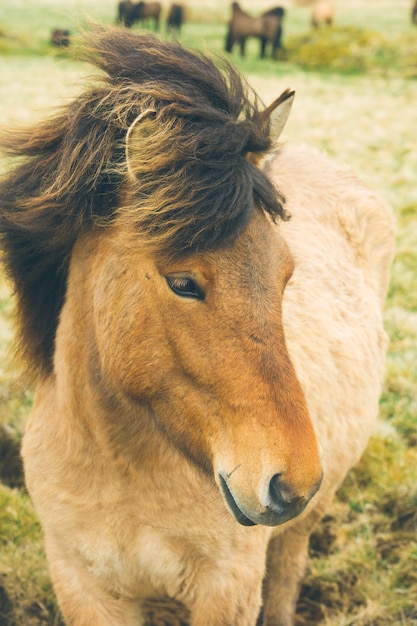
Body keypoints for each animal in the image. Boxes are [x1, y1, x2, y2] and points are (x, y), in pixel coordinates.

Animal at [0, 28, 394, 624]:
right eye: (182, 282)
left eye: (286, 273)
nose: (292, 482)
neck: (125, 473)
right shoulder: (82, 585)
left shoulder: (228, 588)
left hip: (302, 527)